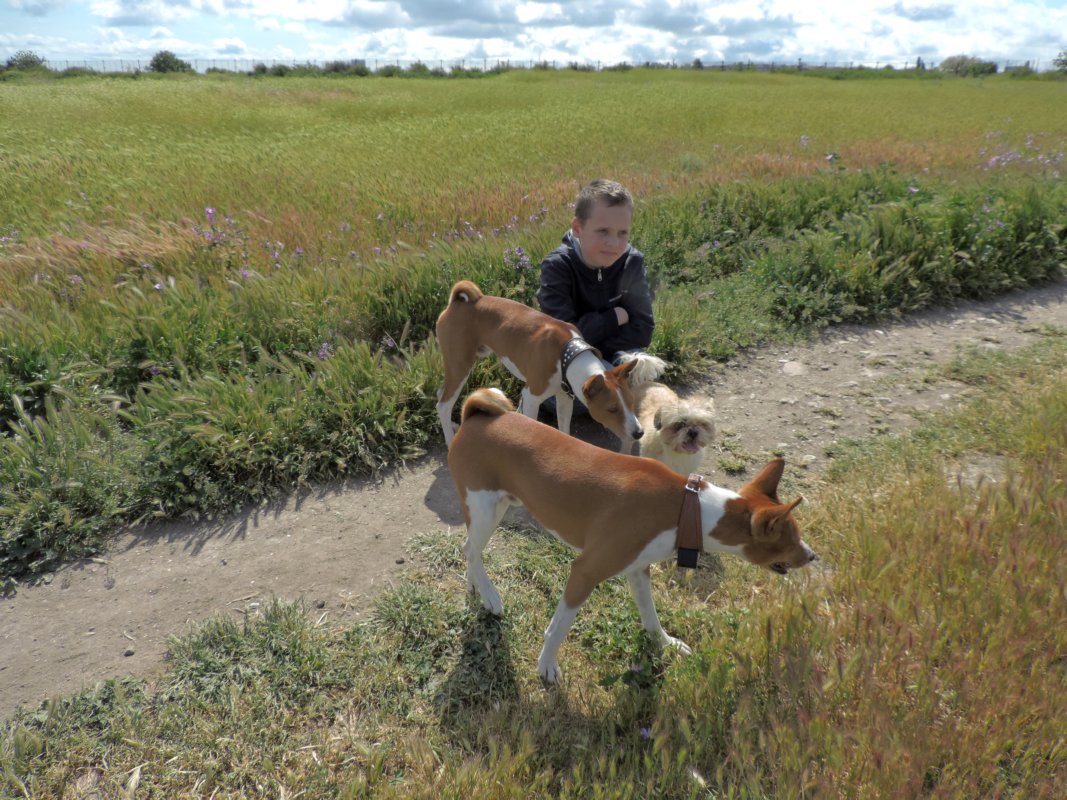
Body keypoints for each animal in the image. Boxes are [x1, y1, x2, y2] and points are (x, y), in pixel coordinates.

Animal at [433, 279, 657, 452]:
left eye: (631, 402)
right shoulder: (531, 397)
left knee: (440, 394)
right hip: (460, 364)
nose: (639, 433)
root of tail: (460, 302)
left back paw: (453, 425)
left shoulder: (564, 397)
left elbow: (564, 428)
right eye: (612, 409)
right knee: (443, 404)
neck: (567, 353)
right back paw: (450, 441)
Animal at [446, 388, 810, 682]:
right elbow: (558, 628)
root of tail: (475, 415)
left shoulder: (638, 569)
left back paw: (477, 589)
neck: (689, 506)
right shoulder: (585, 571)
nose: (811, 555)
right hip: (485, 508)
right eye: (790, 538)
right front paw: (546, 666)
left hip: (494, 508)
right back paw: (491, 595)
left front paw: (666, 644)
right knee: (470, 549)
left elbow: (650, 616)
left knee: (469, 550)